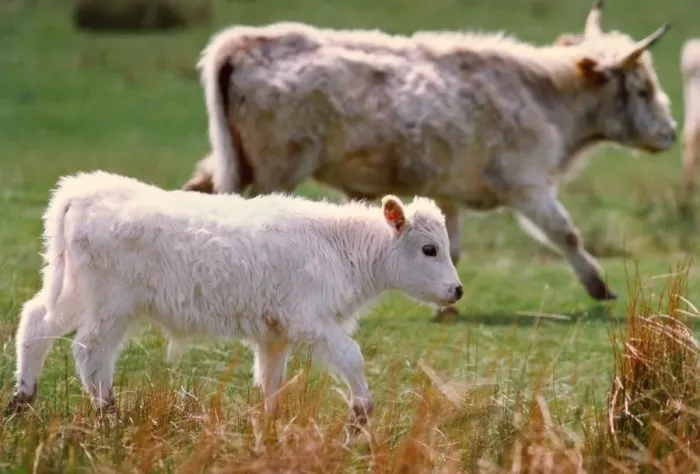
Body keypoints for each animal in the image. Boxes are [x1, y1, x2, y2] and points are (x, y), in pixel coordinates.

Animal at [4, 171, 462, 424]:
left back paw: (21, 401)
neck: (334, 243)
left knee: (36, 324)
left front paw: (270, 426)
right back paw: (109, 415)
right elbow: (352, 356)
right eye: (429, 249)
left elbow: (271, 380)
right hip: (110, 306)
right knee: (90, 350)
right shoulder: (311, 321)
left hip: (71, 291)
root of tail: (84, 190)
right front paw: (361, 416)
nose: (456, 290)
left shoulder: (275, 333)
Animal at [181, 1, 676, 313]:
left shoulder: (449, 194)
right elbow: (566, 233)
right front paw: (600, 286)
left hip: (231, 160)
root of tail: (245, 41)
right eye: (642, 88)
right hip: (276, 170)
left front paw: (446, 305)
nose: (671, 133)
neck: (542, 94)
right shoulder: (527, 183)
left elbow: (452, 245)